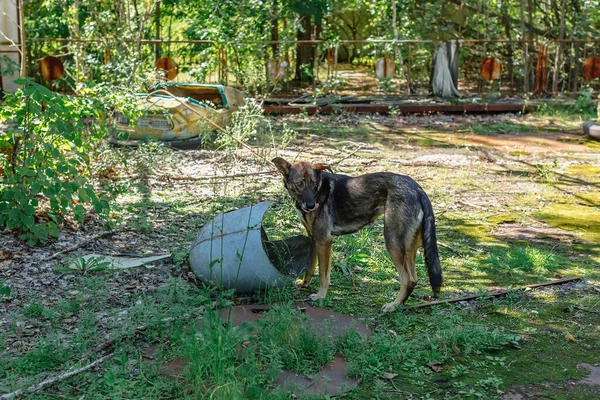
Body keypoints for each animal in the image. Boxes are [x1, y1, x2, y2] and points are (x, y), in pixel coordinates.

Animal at [272, 157, 440, 312]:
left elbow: (323, 275)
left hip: (393, 242)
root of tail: (417, 188)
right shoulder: (314, 238)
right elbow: (310, 267)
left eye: (313, 184)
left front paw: (320, 296)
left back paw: (394, 305)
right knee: (414, 278)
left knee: (408, 280)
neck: (318, 190)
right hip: (409, 247)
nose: (312, 205)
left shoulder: (324, 240)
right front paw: (304, 284)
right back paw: (401, 304)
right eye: (300, 183)